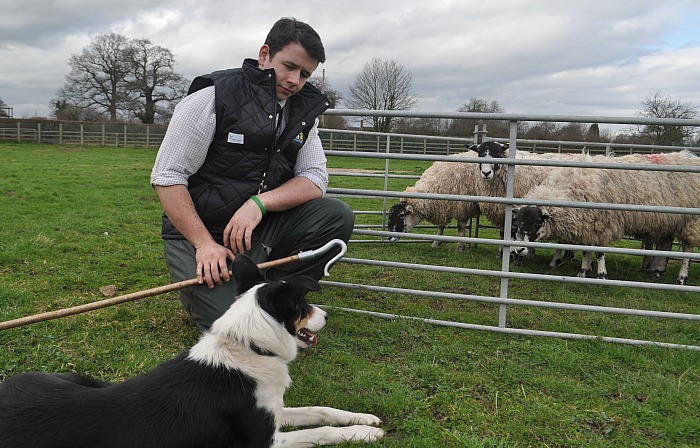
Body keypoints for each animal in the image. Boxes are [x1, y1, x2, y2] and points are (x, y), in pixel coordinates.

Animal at [512, 150, 700, 284]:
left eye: (537, 221)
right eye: (519, 221)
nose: (519, 250)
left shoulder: (602, 225)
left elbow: (600, 252)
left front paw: (601, 275)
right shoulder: (589, 224)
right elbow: (586, 249)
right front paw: (584, 271)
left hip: (691, 222)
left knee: (687, 249)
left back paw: (681, 278)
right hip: (670, 222)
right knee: (665, 245)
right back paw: (657, 271)